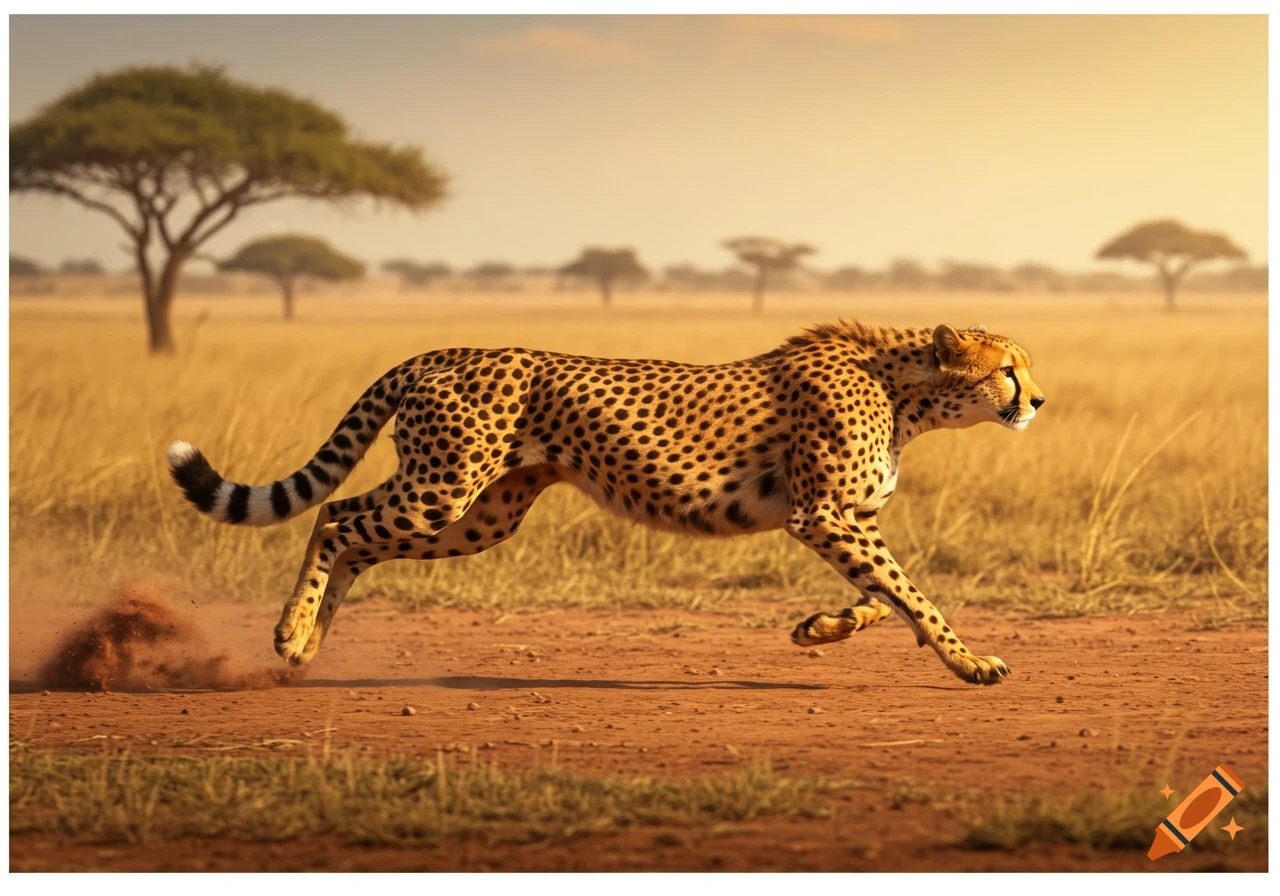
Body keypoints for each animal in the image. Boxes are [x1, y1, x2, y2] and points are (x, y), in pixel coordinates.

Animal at [168, 319, 1045, 684]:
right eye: (1008, 369)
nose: (1038, 400)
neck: (905, 389)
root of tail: (441, 350)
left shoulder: (844, 519)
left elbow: (881, 594)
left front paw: (819, 628)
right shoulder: (821, 515)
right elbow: (913, 594)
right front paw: (971, 661)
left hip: (482, 514)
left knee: (349, 528)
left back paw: (310, 645)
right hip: (443, 491)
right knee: (337, 515)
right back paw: (291, 634)